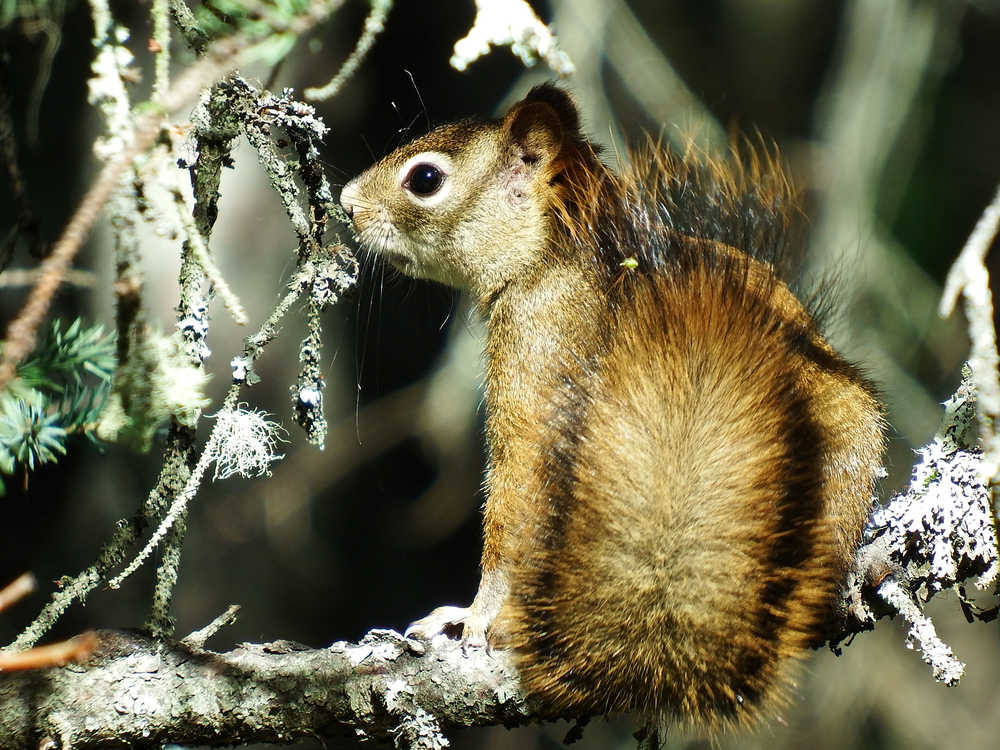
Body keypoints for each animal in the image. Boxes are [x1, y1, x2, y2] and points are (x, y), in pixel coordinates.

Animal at [339, 84, 886, 731]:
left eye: (425, 179)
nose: (346, 205)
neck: (554, 257)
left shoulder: (534, 352)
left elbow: (515, 504)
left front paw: (474, 616)